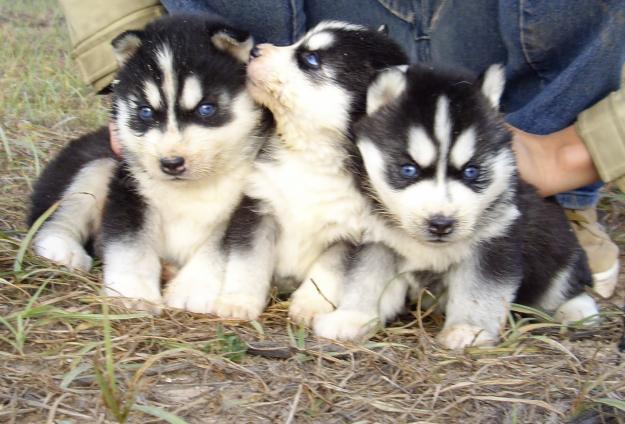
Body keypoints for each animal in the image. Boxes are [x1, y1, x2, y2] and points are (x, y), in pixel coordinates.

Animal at [29, 16, 264, 312]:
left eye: (206, 109)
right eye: (145, 112)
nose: (171, 163)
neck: (189, 189)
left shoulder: (242, 205)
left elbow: (217, 249)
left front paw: (193, 289)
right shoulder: (129, 191)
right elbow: (131, 246)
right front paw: (133, 293)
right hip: (98, 168)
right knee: (54, 219)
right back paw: (63, 248)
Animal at [213, 19, 410, 318]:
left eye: (311, 59)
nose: (255, 50)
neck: (312, 155)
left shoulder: (352, 234)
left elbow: (328, 270)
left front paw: (310, 304)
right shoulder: (258, 205)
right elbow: (249, 261)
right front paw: (240, 301)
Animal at [314, 63, 596, 348]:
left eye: (471, 172)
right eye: (408, 170)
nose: (441, 224)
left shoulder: (494, 243)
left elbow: (478, 290)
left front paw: (468, 330)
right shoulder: (375, 238)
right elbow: (365, 278)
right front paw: (353, 317)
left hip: (559, 246)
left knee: (563, 283)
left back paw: (577, 310)